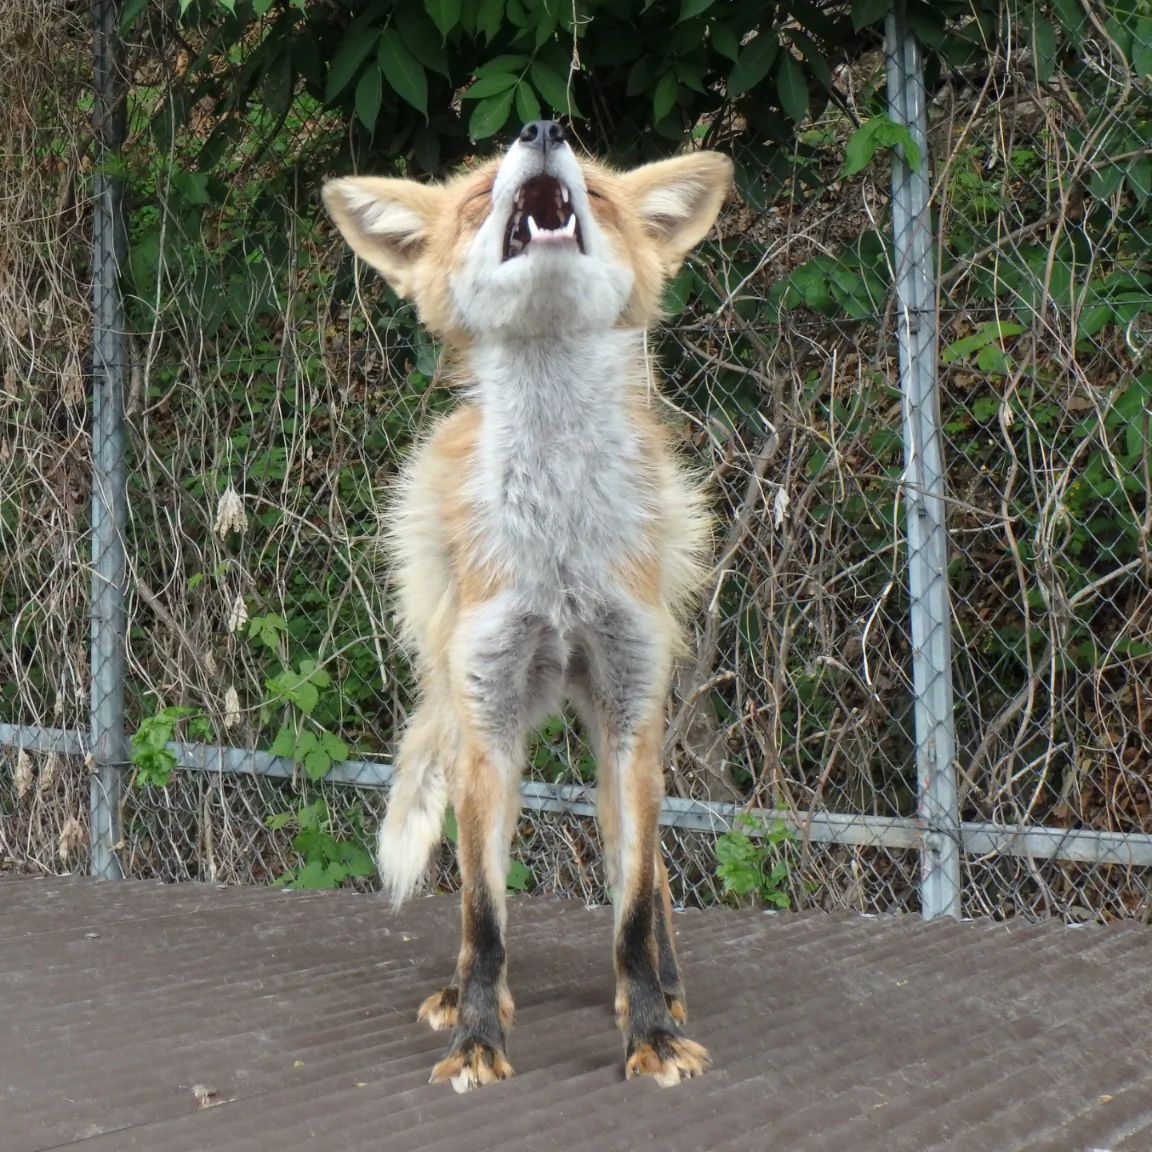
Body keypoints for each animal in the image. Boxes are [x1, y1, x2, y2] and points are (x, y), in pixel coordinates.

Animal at [322, 120, 732, 1092]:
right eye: (477, 195)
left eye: (600, 190)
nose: (542, 128)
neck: (559, 553)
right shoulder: (492, 717)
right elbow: (484, 915)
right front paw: (479, 1038)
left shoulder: (629, 712)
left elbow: (631, 912)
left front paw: (651, 1033)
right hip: (465, 708)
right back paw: (462, 997)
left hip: (629, 744)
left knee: (648, 877)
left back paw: (664, 991)